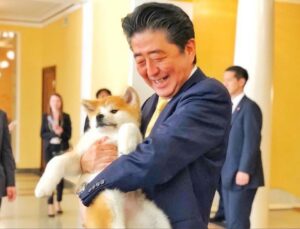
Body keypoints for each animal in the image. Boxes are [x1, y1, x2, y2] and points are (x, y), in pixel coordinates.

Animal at [34, 87, 171, 228]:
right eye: (98, 113)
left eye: (114, 110)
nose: (99, 116)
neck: (110, 134)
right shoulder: (80, 158)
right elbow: (55, 162)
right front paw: (42, 187)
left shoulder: (141, 141)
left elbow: (129, 126)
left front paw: (126, 145)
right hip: (108, 199)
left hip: (158, 218)